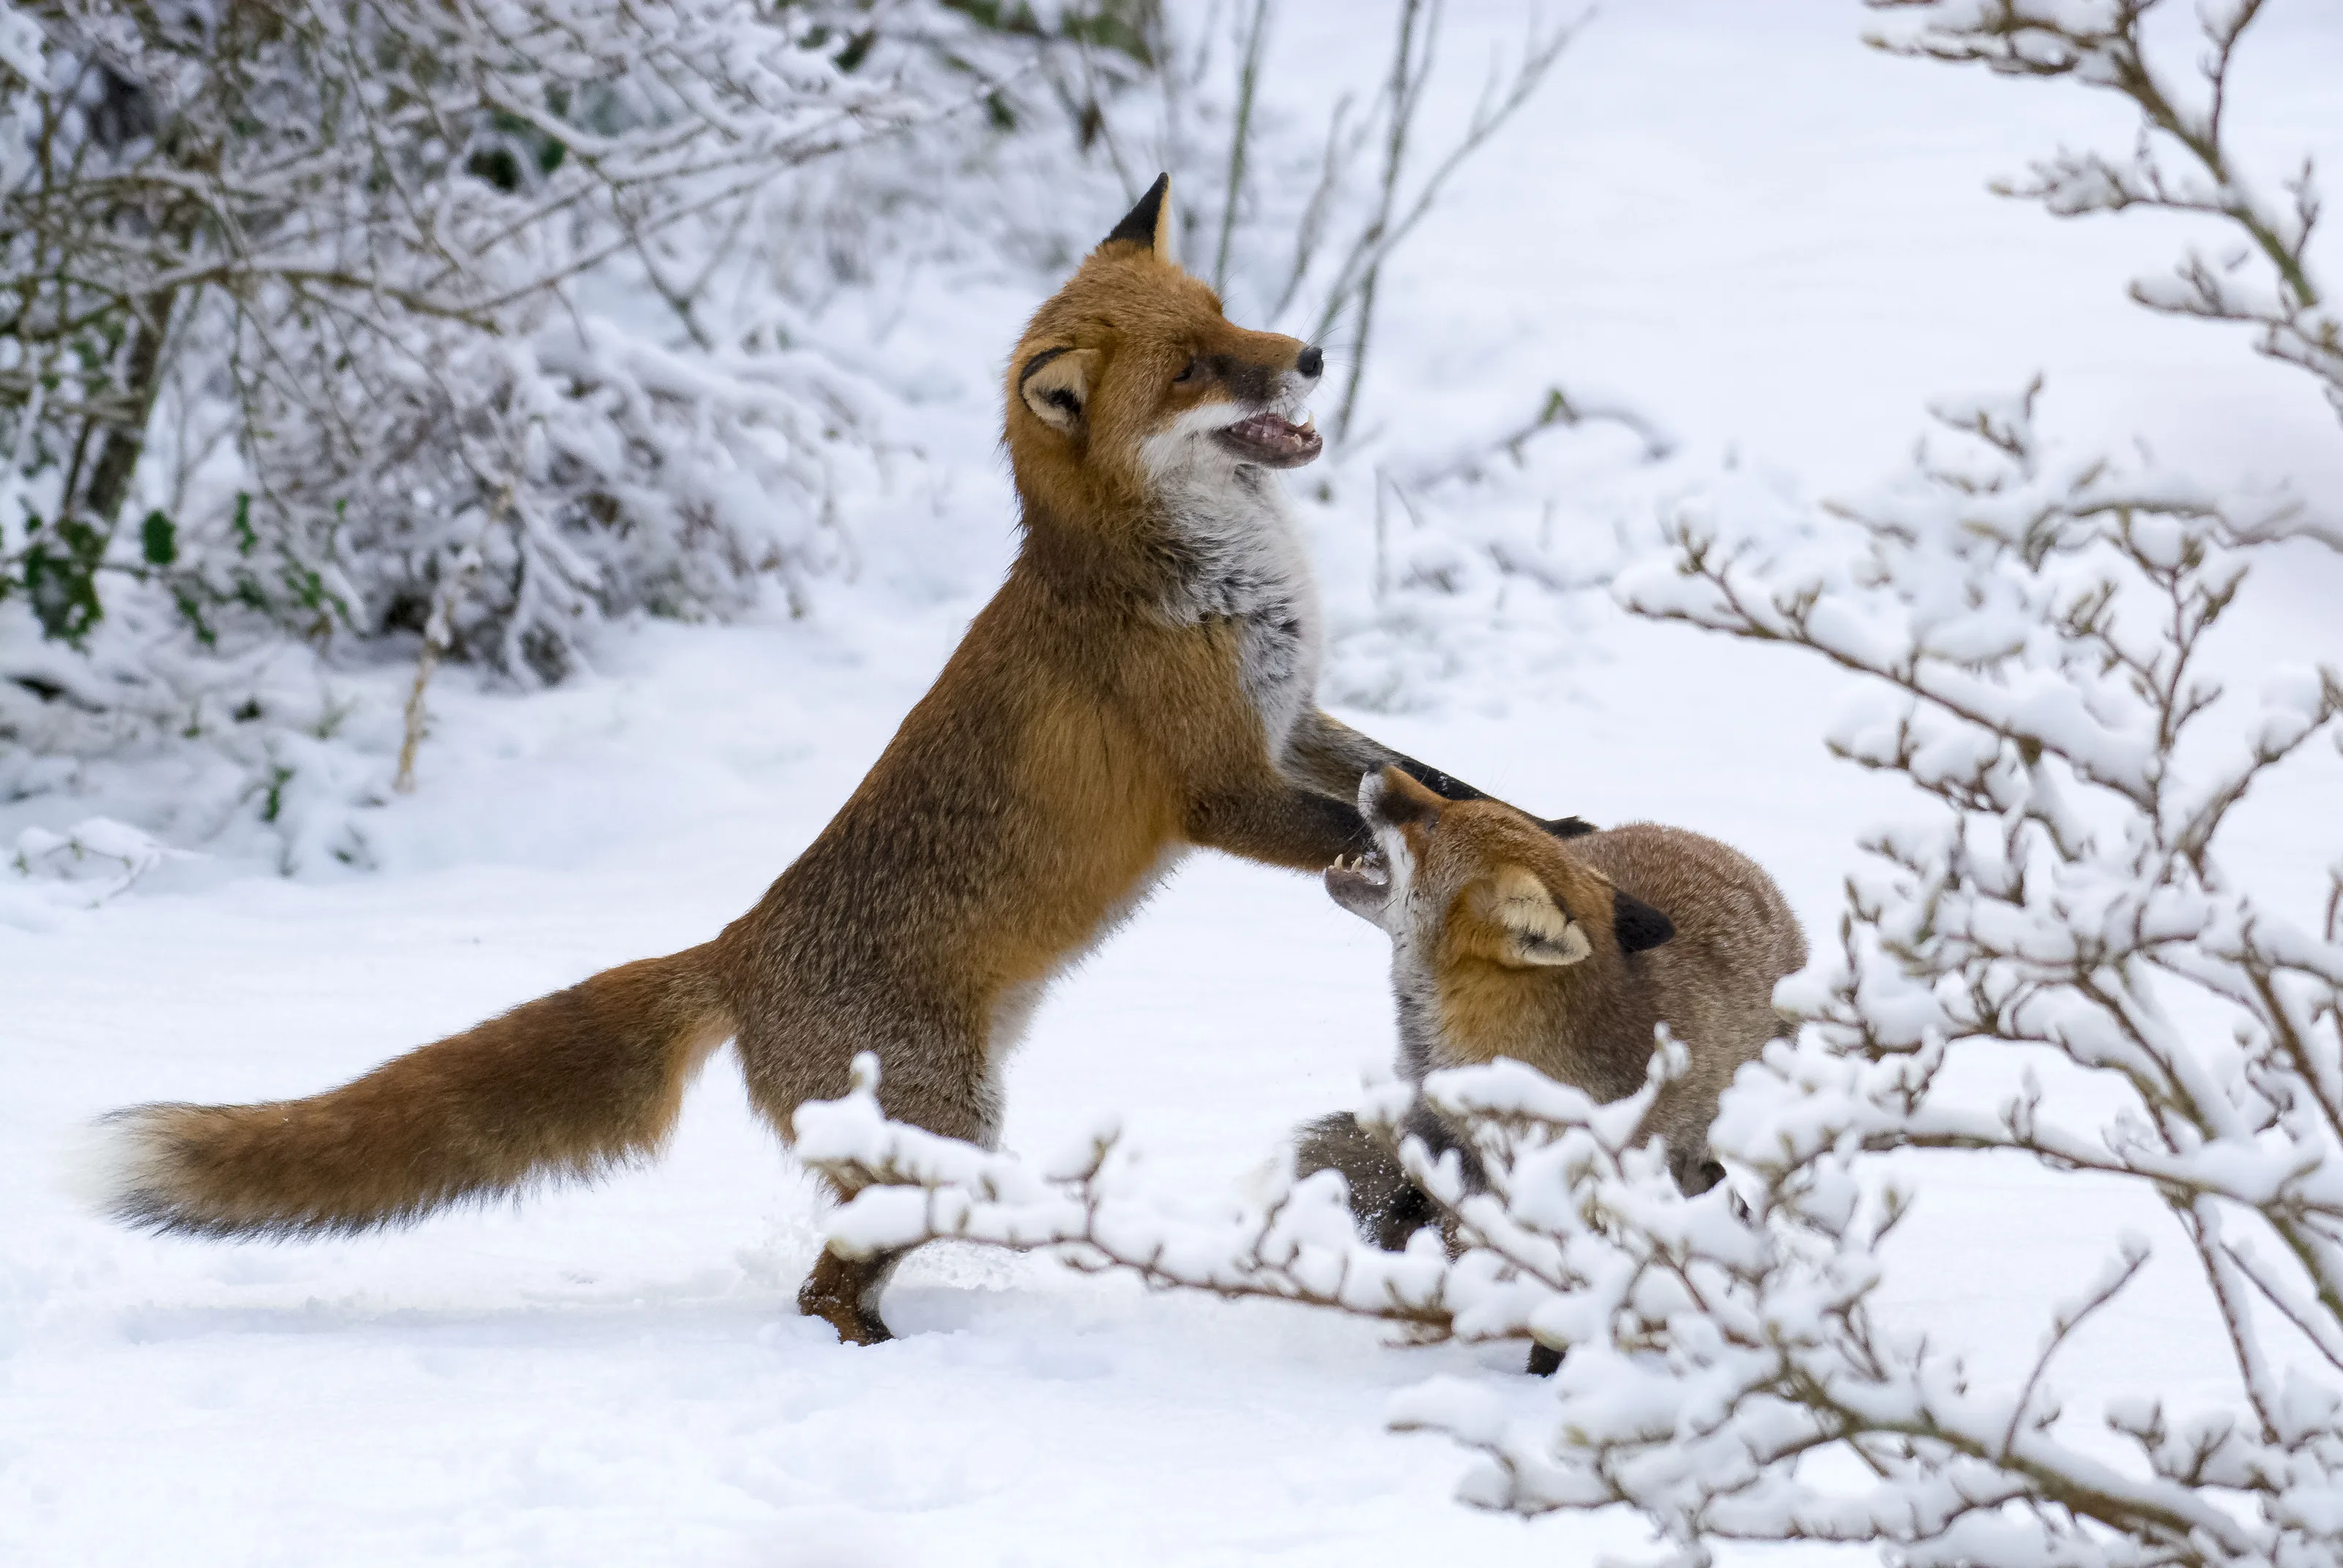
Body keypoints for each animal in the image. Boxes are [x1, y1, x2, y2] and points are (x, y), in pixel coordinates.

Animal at [83, 177, 1591, 1347]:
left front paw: (1551, 826)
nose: (1313, 355)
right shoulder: (1219, 785)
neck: (1194, 572)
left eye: (1228, 316)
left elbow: (1433, 779)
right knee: (825, 1282)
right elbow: (1345, 829)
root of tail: (732, 950)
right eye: (1193, 369)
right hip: (951, 1135)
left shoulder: (1295, 718)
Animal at [1296, 766, 1804, 1367]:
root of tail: (1717, 847)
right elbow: (1409, 1222)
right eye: (1442, 808)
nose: (1378, 769)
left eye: (1432, 821)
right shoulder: (1437, 1143)